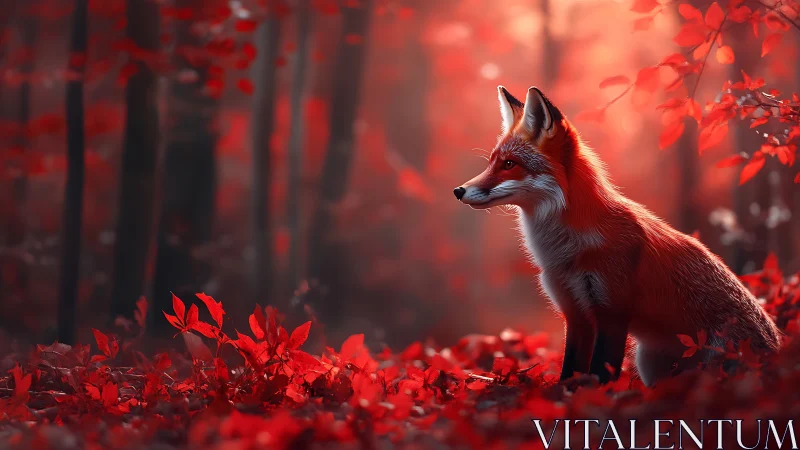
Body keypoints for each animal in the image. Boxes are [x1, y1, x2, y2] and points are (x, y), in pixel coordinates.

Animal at [453, 86, 781, 386]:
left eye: (509, 164)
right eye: (491, 162)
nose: (458, 191)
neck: (566, 250)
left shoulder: (612, 312)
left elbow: (602, 372)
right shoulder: (575, 313)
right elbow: (569, 372)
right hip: (650, 363)